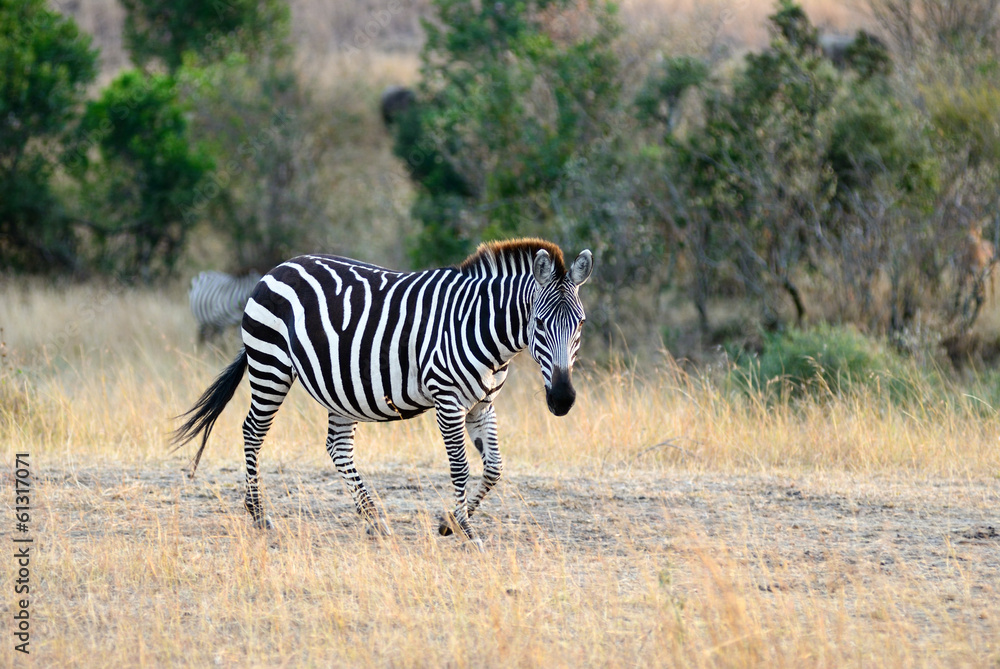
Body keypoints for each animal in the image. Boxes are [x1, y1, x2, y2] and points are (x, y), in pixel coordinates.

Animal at [173, 238, 593, 546]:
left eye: (581, 324)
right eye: (539, 323)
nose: (562, 400)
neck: (483, 330)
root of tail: (278, 268)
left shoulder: (483, 404)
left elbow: (494, 469)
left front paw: (450, 523)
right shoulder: (447, 399)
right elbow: (460, 467)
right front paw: (466, 531)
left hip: (337, 386)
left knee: (337, 447)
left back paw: (374, 519)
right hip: (270, 364)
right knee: (253, 432)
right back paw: (259, 514)